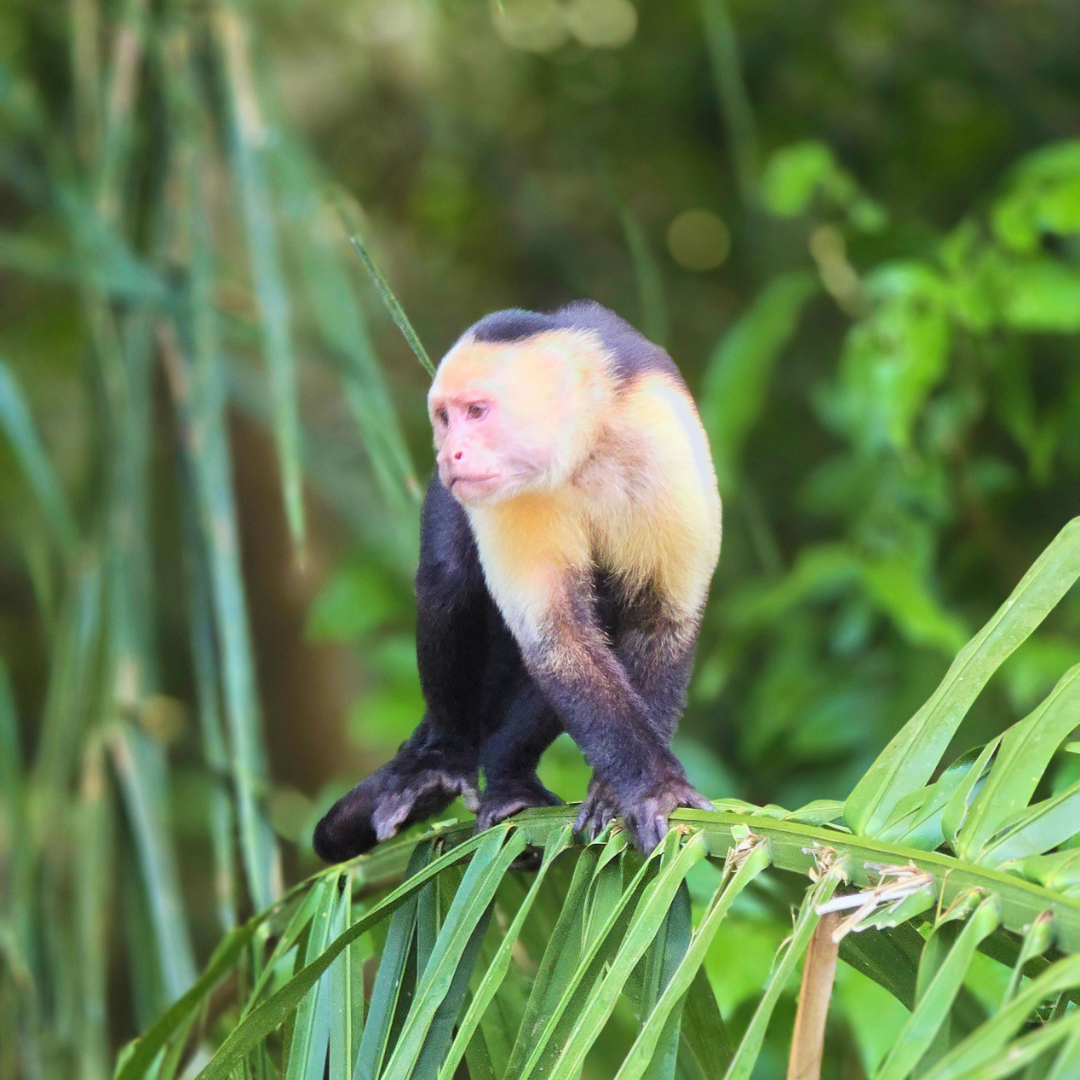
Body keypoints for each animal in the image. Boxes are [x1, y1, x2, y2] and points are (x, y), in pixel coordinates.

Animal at [313, 301, 721, 860]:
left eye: (476, 412)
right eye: (445, 418)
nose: (451, 453)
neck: (586, 446)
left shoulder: (666, 444)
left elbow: (660, 621)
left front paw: (625, 790)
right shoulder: (508, 494)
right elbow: (557, 638)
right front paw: (652, 787)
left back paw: (507, 772)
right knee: (450, 580)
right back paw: (450, 761)